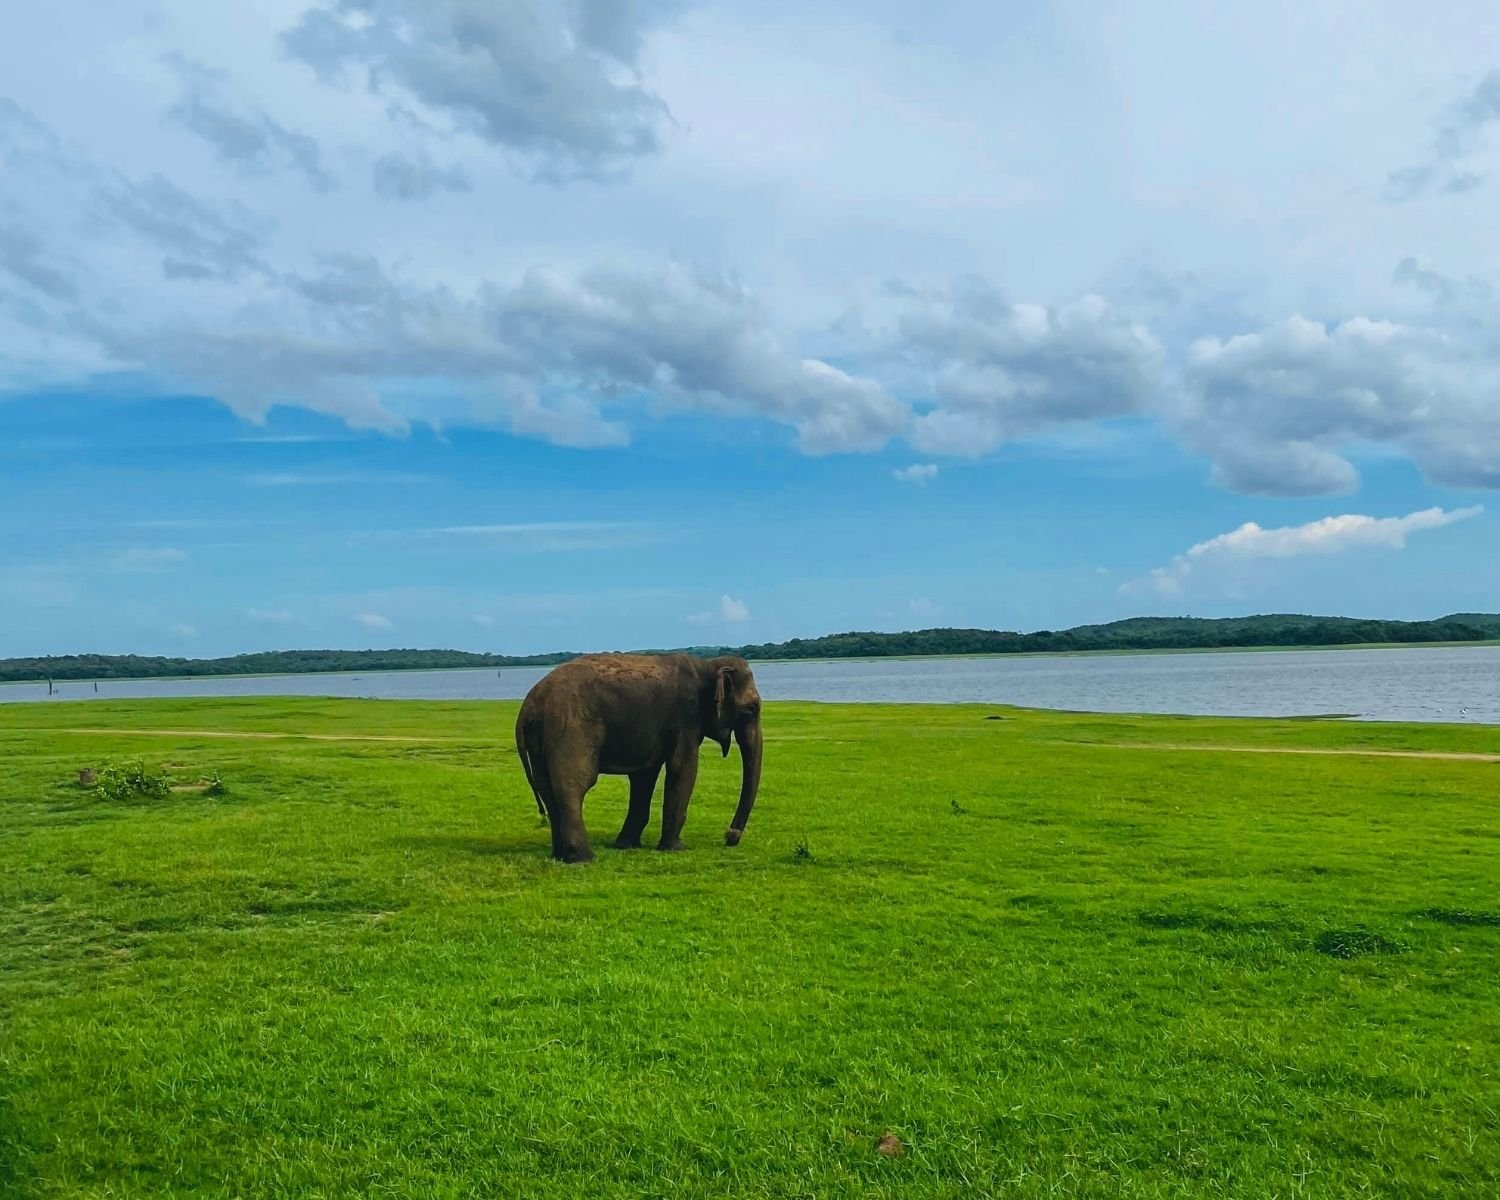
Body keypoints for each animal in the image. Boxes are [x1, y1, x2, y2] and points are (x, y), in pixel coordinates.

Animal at [515, 653, 763, 863]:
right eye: (752, 708)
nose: (729, 836)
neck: (707, 664)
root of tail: (528, 705)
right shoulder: (686, 718)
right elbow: (683, 768)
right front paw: (677, 849)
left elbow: (644, 776)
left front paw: (625, 845)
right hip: (571, 728)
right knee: (574, 784)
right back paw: (584, 859)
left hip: (541, 739)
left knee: (546, 788)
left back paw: (560, 856)